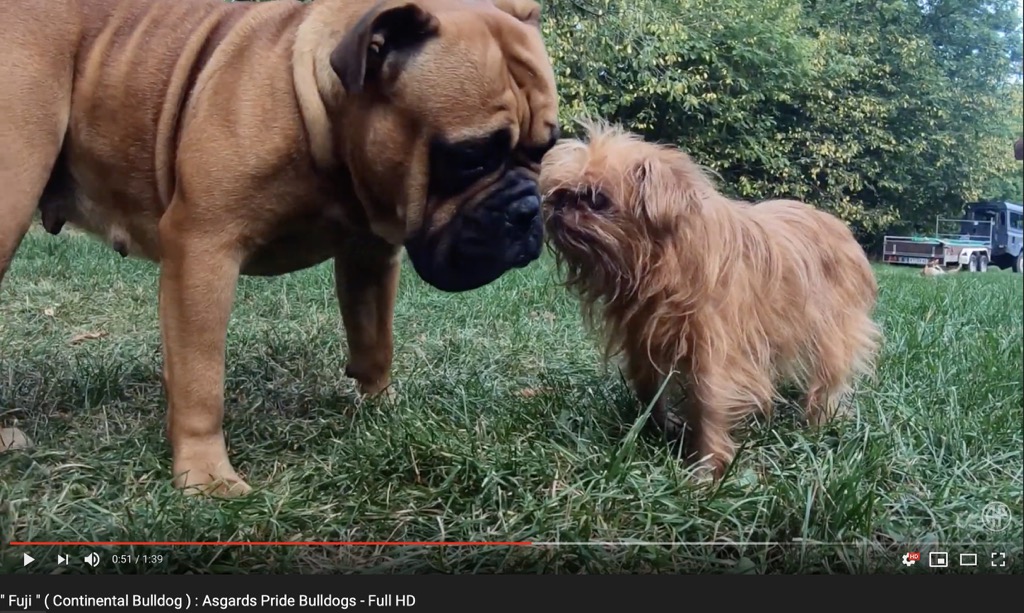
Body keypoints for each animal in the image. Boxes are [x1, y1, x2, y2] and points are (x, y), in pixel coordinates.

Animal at [540, 123, 884, 478]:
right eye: (559, 193)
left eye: (596, 199)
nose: (558, 205)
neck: (662, 264)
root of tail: (842, 230)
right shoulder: (643, 342)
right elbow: (649, 388)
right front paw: (661, 427)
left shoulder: (716, 350)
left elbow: (710, 404)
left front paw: (706, 469)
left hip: (833, 331)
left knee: (828, 378)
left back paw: (818, 421)